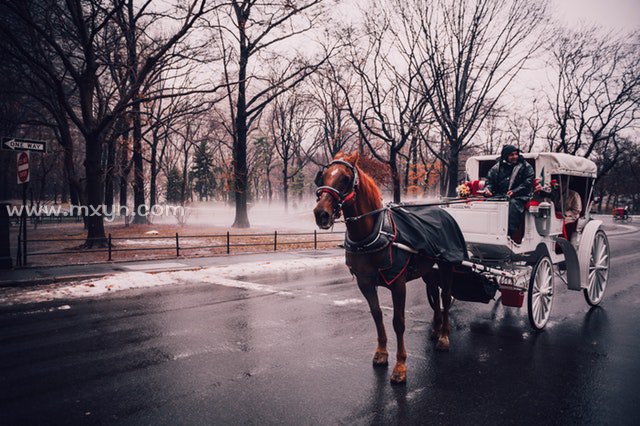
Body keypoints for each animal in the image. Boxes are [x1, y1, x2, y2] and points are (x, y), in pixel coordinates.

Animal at [312, 151, 458, 384]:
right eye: (323, 176)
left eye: (345, 178)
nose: (321, 214)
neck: (373, 233)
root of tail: (442, 211)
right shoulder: (365, 282)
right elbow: (377, 314)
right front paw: (381, 353)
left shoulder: (398, 283)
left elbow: (398, 322)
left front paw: (400, 366)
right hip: (428, 270)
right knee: (434, 293)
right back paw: (436, 328)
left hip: (446, 266)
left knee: (445, 296)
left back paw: (443, 336)